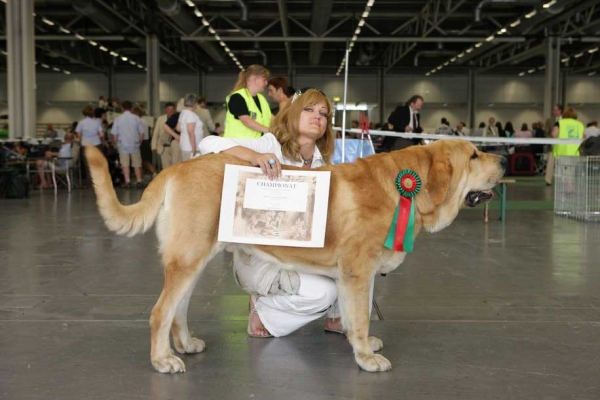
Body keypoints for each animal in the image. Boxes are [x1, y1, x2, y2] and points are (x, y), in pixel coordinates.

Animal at [84, 139, 506, 374]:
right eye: (474, 155)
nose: (503, 159)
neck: (407, 189)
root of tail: (174, 169)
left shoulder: (356, 275)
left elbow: (353, 316)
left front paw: (361, 344)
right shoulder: (358, 271)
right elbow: (360, 318)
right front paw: (366, 358)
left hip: (194, 260)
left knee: (178, 311)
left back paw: (185, 344)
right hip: (188, 258)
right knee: (160, 312)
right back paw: (163, 361)